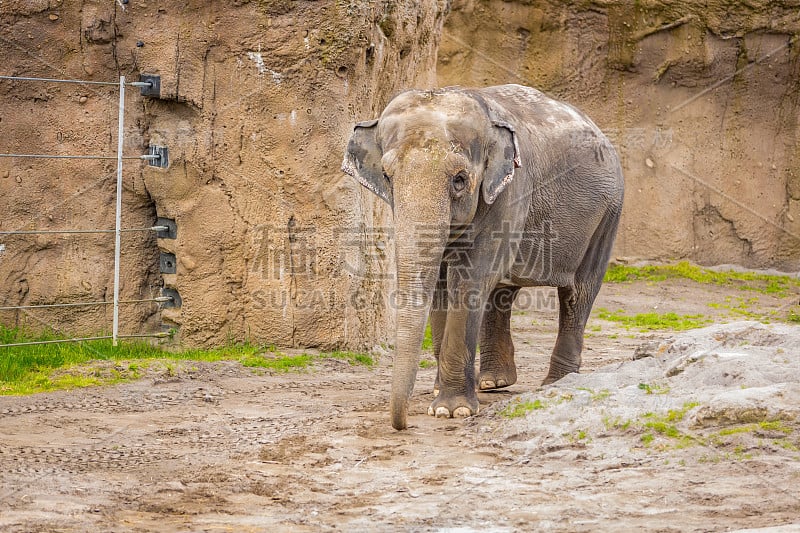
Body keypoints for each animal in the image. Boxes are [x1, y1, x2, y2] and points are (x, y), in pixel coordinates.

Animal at [340, 84, 620, 432]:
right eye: (387, 177)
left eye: (460, 180)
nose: (402, 424)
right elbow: (442, 285)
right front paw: (440, 394)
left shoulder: (511, 193)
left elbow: (469, 281)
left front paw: (450, 411)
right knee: (502, 291)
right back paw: (493, 382)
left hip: (607, 214)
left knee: (578, 293)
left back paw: (557, 383)